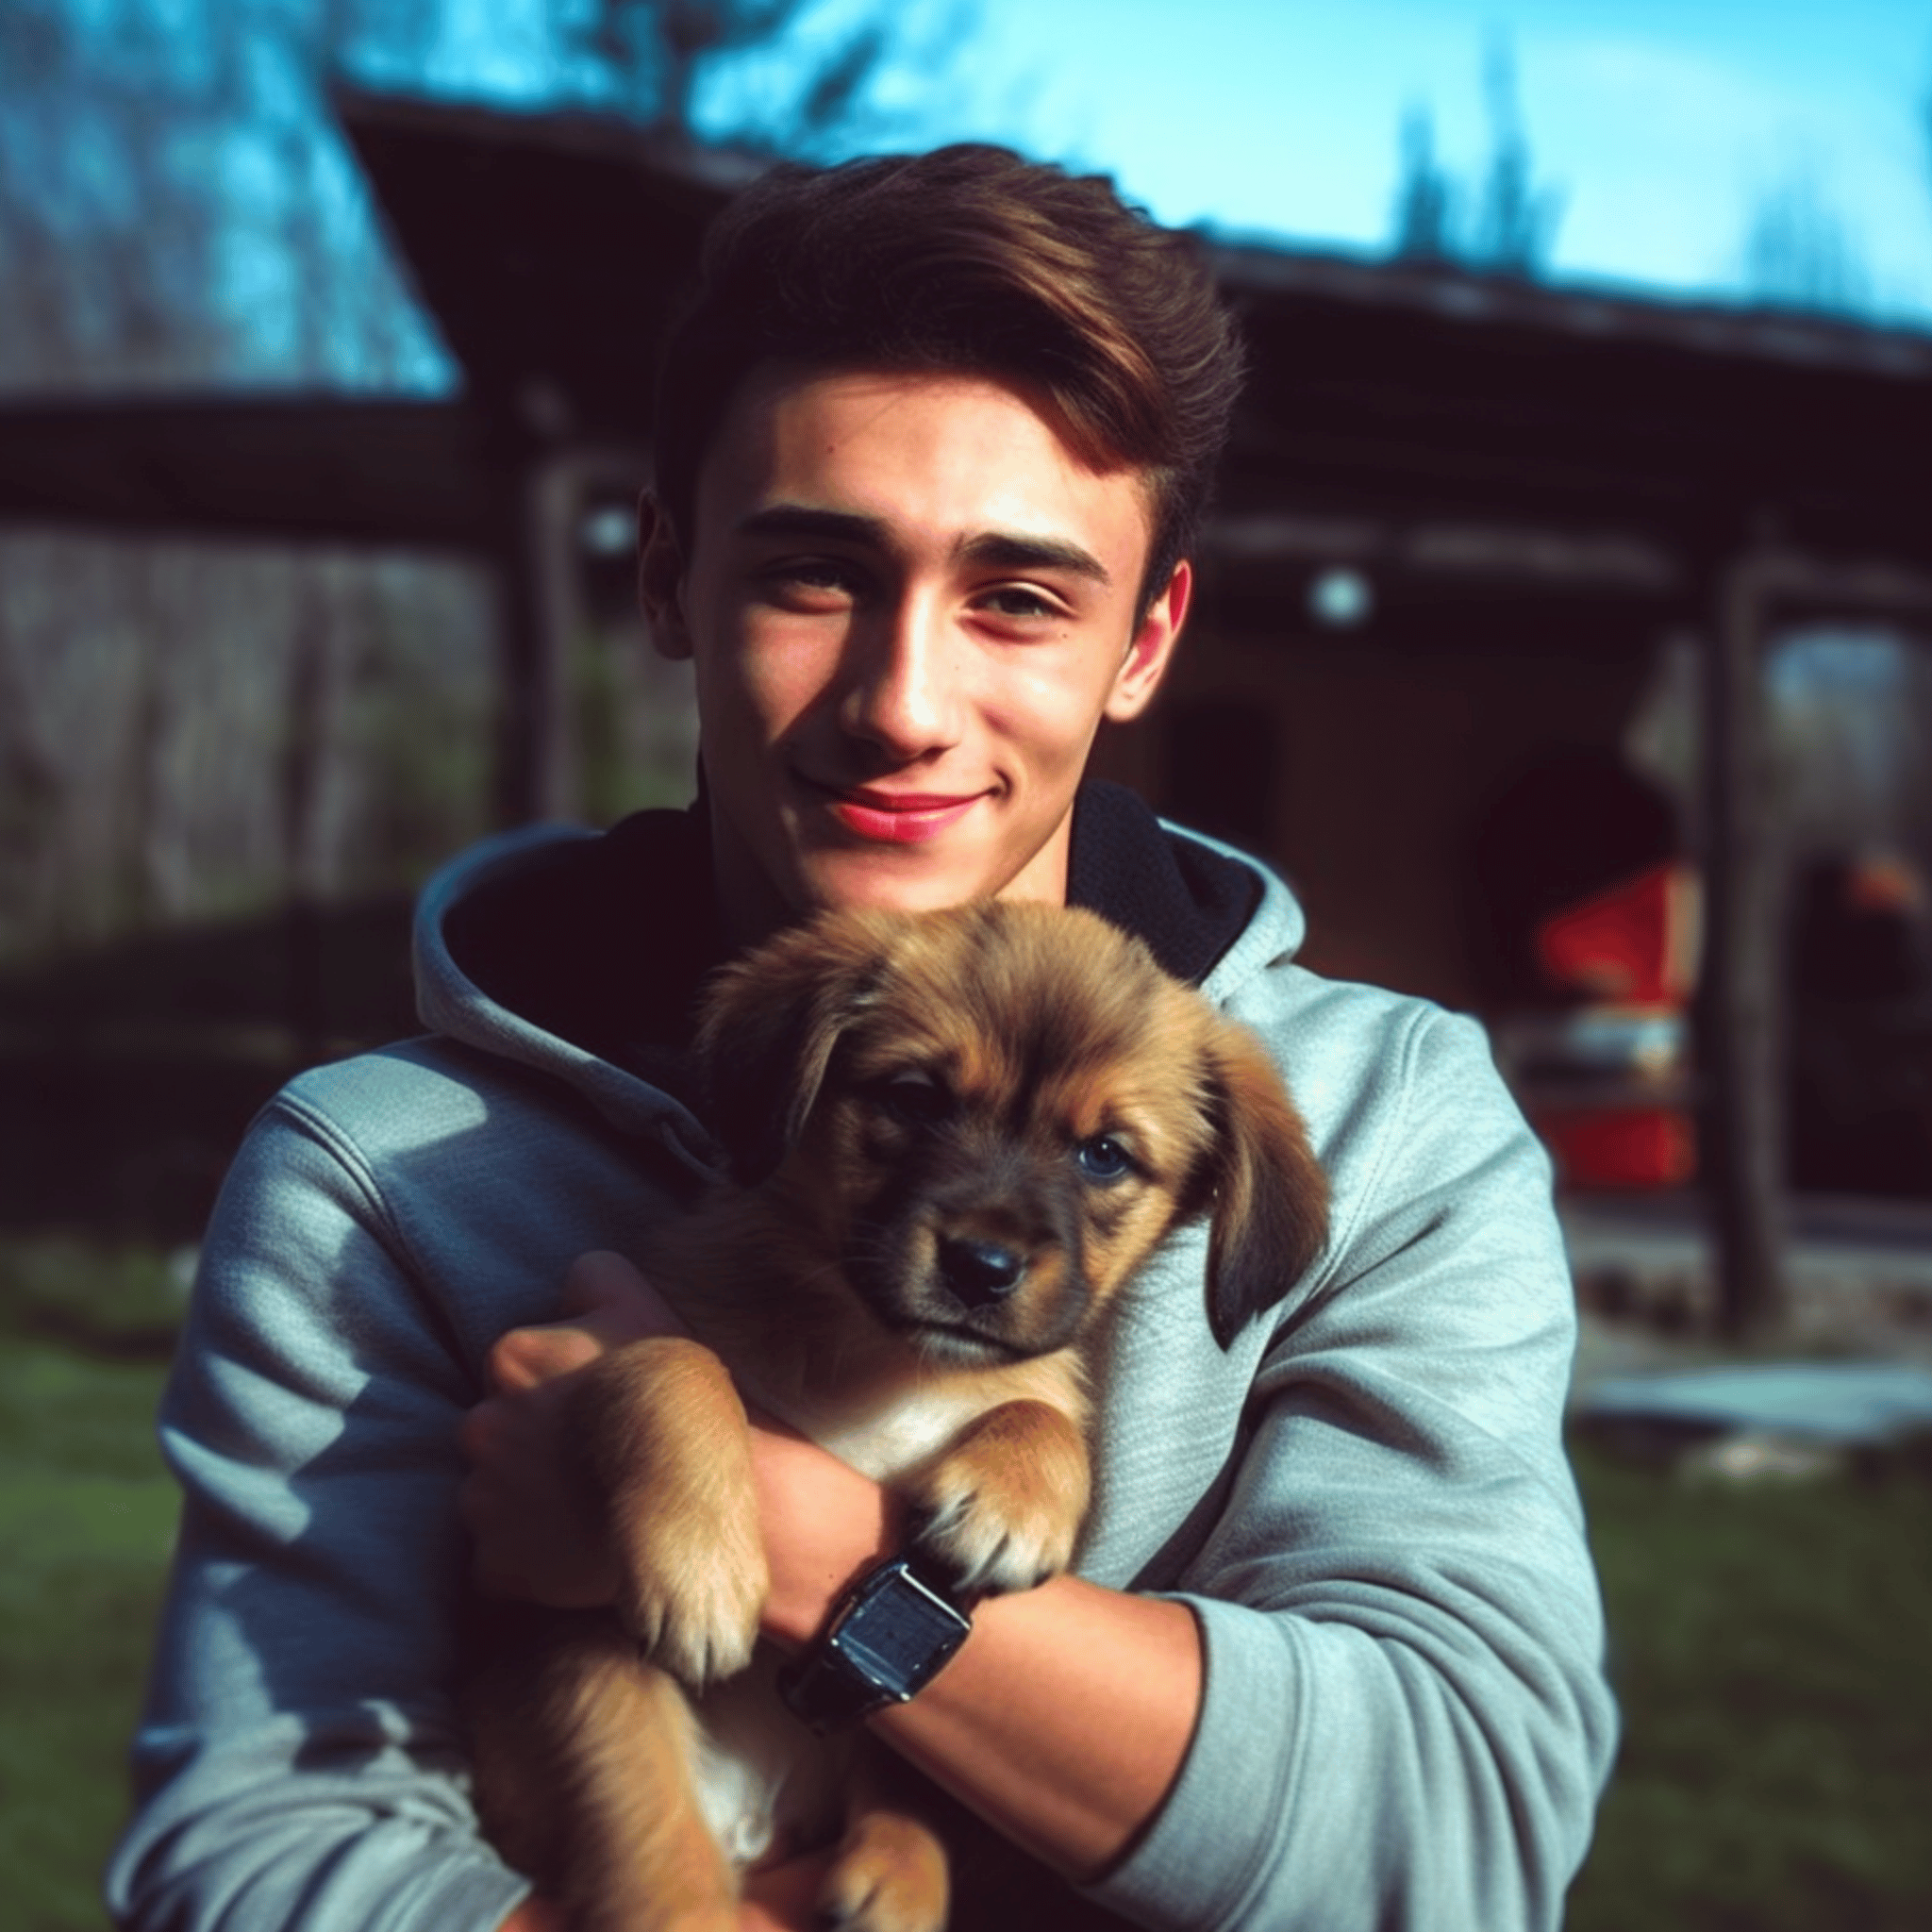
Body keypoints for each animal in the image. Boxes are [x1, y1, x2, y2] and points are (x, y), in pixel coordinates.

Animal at [463, 900, 1329, 1932]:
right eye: (915, 1098)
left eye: (1104, 1154)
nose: (980, 1268)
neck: (882, 1359)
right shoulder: (624, 1327)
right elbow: (667, 1359)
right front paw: (700, 1562)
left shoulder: (1023, 1382)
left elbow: (1040, 1412)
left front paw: (1012, 1502)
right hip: (598, 1686)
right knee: (651, 1853)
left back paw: (897, 1874)